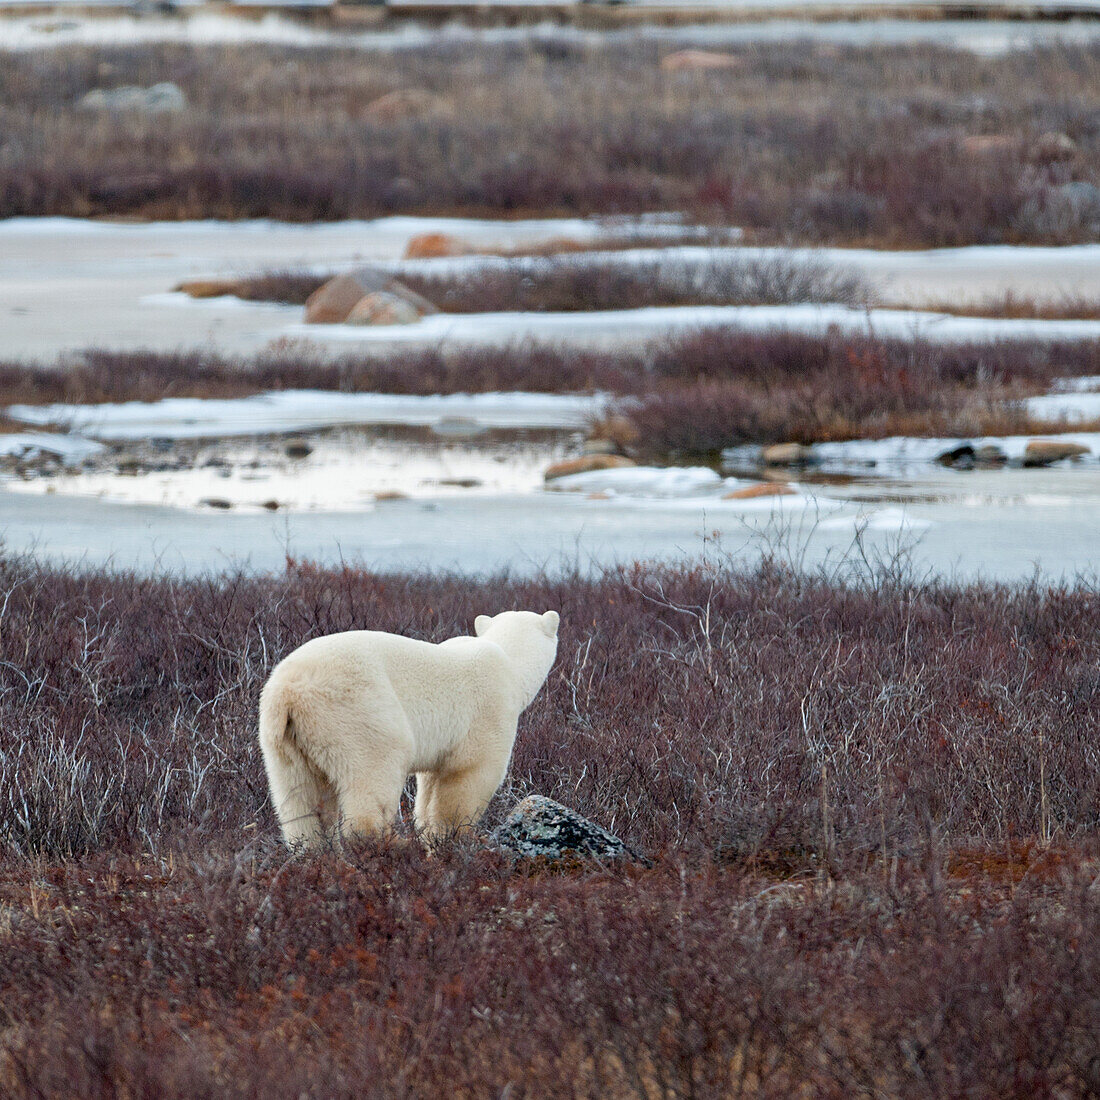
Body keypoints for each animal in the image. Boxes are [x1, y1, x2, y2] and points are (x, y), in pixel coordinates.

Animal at [253, 611, 554, 849]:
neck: (508, 662)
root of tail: (288, 690)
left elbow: (429, 788)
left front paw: (429, 837)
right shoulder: (489, 711)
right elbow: (467, 778)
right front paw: (454, 838)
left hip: (284, 738)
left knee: (299, 799)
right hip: (356, 713)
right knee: (374, 775)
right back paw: (391, 843)